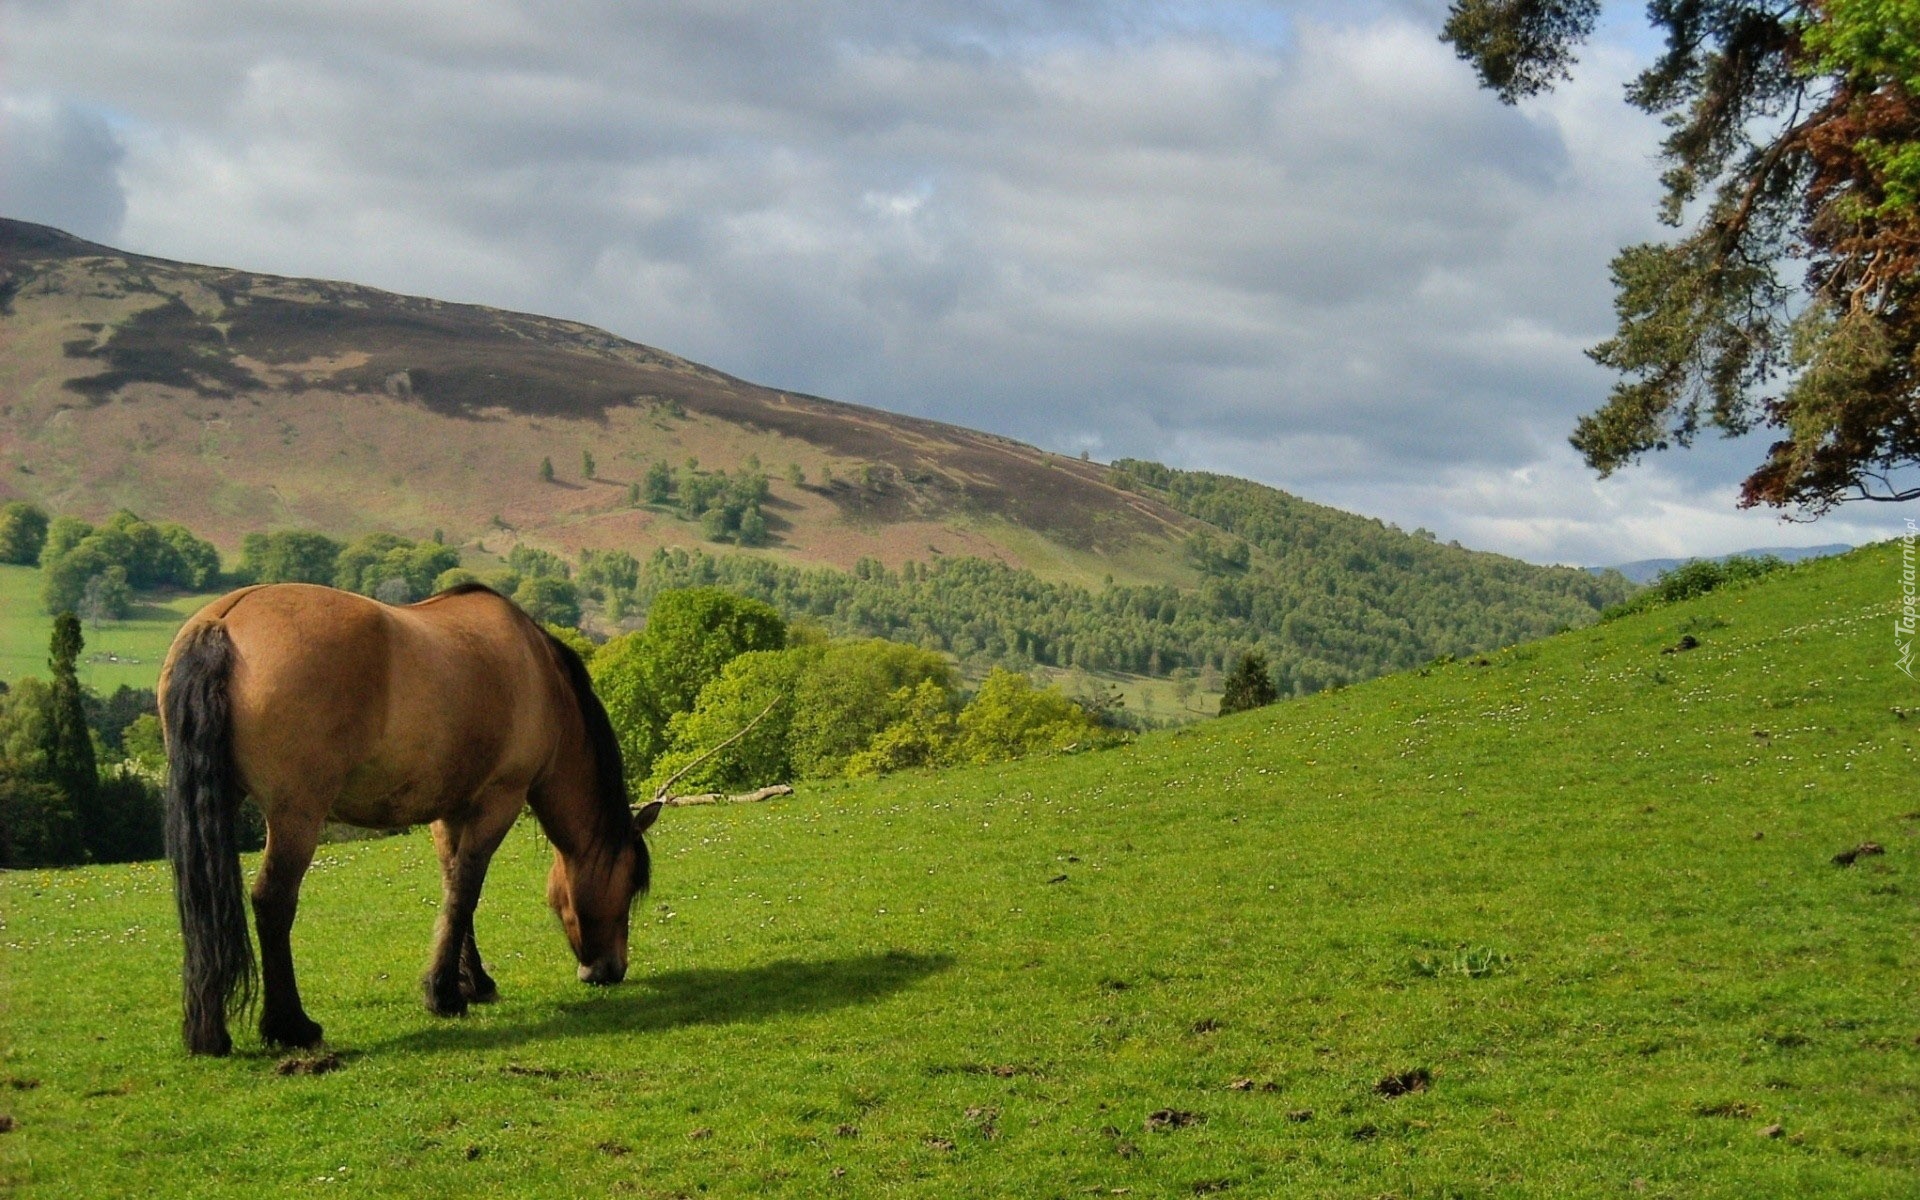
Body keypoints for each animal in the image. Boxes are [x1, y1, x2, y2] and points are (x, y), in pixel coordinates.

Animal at [153, 583, 660, 1052]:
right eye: (630, 884)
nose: (610, 970)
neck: (539, 672)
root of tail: (223, 621)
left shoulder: (451, 811)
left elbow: (455, 888)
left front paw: (471, 983)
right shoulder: (499, 800)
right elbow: (466, 891)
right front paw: (445, 995)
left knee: (205, 900)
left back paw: (209, 1033)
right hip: (296, 815)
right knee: (272, 901)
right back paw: (292, 1026)